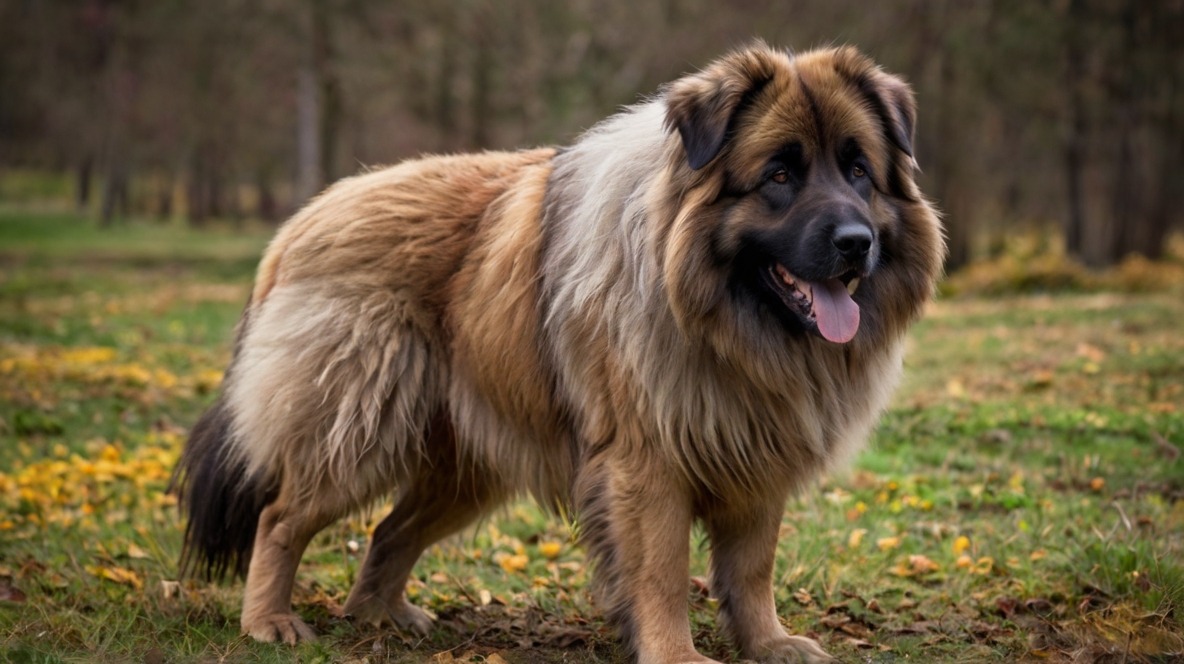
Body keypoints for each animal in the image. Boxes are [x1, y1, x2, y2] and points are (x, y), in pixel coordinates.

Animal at [172, 42, 942, 662]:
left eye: (859, 172)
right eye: (780, 176)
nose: (855, 244)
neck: (720, 316)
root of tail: (302, 219)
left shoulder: (758, 456)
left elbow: (752, 569)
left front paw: (769, 643)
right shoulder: (647, 466)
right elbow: (661, 574)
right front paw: (677, 653)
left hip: (465, 466)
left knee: (390, 531)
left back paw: (381, 616)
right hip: (357, 425)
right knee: (281, 517)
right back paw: (269, 621)